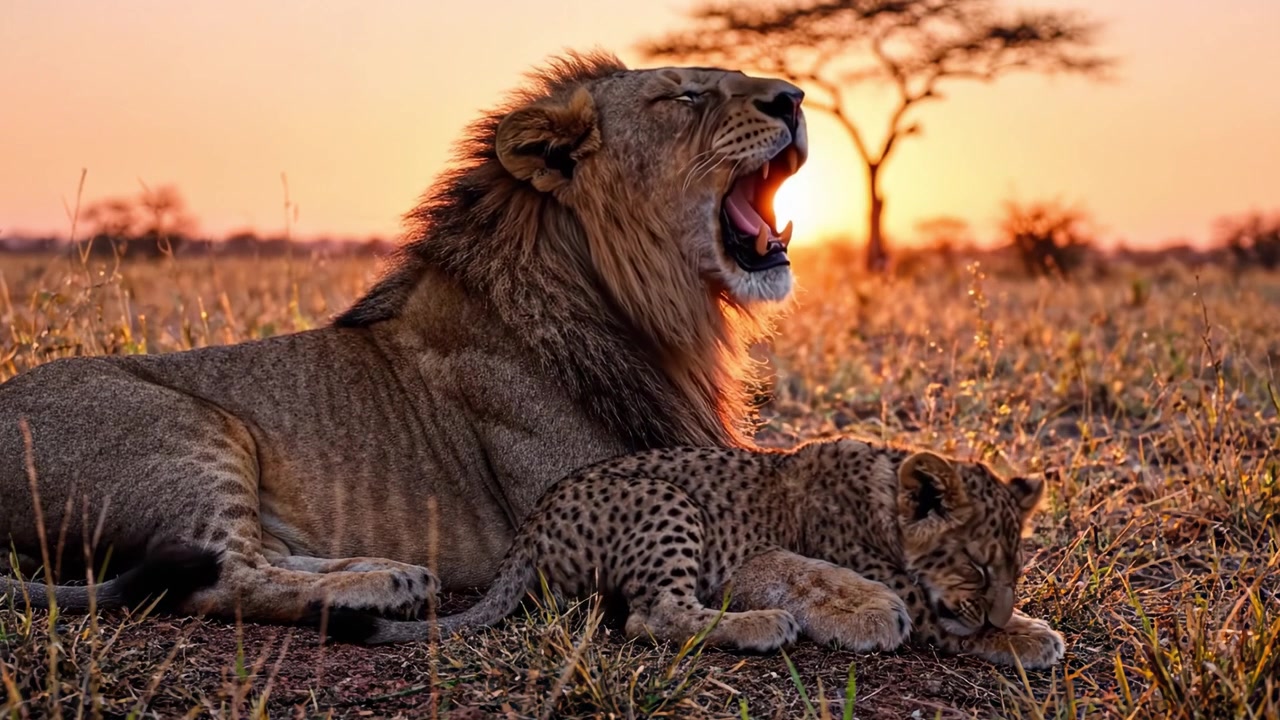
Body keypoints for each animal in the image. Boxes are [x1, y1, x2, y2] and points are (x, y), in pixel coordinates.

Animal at [0, 51, 810, 623]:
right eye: (686, 96)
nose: (795, 98)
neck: (658, 317)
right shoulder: (596, 499)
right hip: (191, 430)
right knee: (215, 581)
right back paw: (374, 591)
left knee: (247, 556)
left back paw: (381, 570)